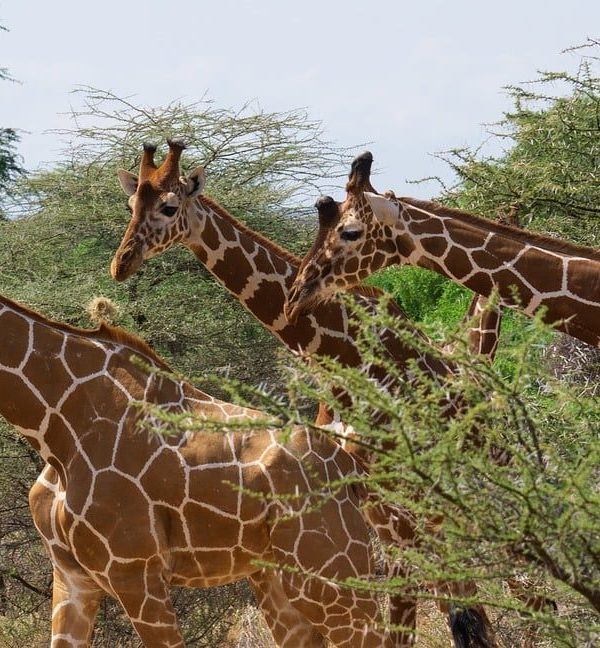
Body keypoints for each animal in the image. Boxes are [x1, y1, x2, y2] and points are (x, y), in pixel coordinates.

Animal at [0, 292, 397, 647]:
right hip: (277, 576)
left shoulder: (135, 572)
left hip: (330, 572)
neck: (57, 431)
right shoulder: (71, 579)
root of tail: (348, 466)